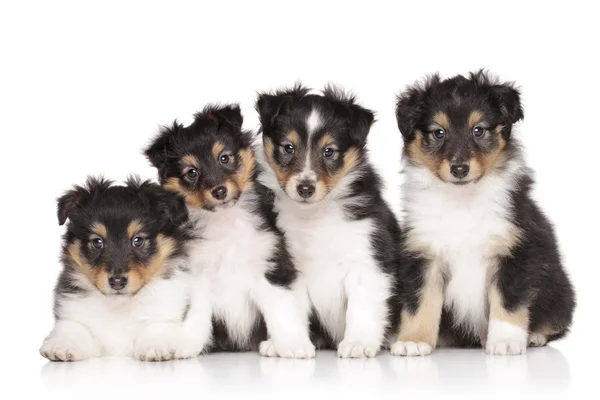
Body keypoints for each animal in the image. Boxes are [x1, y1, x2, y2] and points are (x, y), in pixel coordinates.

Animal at [39, 177, 195, 360]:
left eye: (138, 240)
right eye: (97, 241)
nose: (117, 281)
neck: (119, 307)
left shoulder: (166, 311)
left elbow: (158, 325)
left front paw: (158, 346)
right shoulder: (72, 310)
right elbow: (73, 326)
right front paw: (62, 345)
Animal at [145, 104, 314, 360]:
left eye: (224, 158)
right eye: (191, 172)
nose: (219, 191)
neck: (225, 222)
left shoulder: (269, 264)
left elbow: (280, 309)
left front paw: (292, 344)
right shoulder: (198, 273)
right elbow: (196, 313)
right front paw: (186, 344)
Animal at [254, 85, 400, 360]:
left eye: (329, 151)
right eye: (288, 147)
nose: (305, 188)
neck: (314, 216)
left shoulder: (366, 259)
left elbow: (362, 308)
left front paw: (357, 343)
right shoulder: (292, 266)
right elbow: (291, 308)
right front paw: (289, 343)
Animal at [392, 70, 576, 354]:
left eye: (478, 130)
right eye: (438, 133)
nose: (459, 169)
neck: (462, 201)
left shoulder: (515, 251)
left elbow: (509, 301)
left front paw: (506, 341)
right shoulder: (423, 254)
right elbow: (419, 301)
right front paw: (413, 340)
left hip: (560, 292)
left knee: (555, 322)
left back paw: (533, 336)